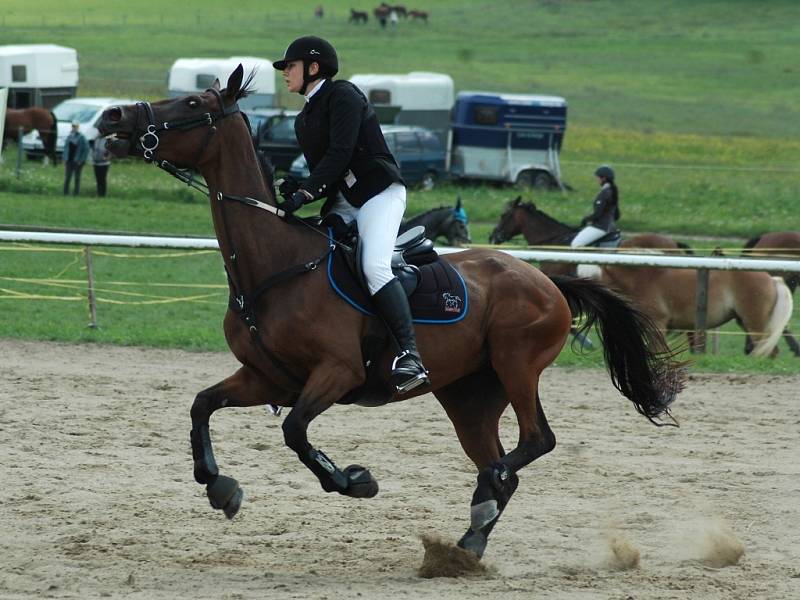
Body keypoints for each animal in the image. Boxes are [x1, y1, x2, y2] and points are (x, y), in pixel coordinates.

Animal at [98, 67, 688, 564]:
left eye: (192, 102)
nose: (112, 117)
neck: (276, 267)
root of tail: (546, 279)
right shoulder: (266, 376)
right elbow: (202, 406)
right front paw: (220, 486)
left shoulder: (335, 374)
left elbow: (294, 432)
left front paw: (353, 480)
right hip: (469, 394)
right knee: (499, 461)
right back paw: (469, 541)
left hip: (517, 363)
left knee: (534, 442)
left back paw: (483, 499)